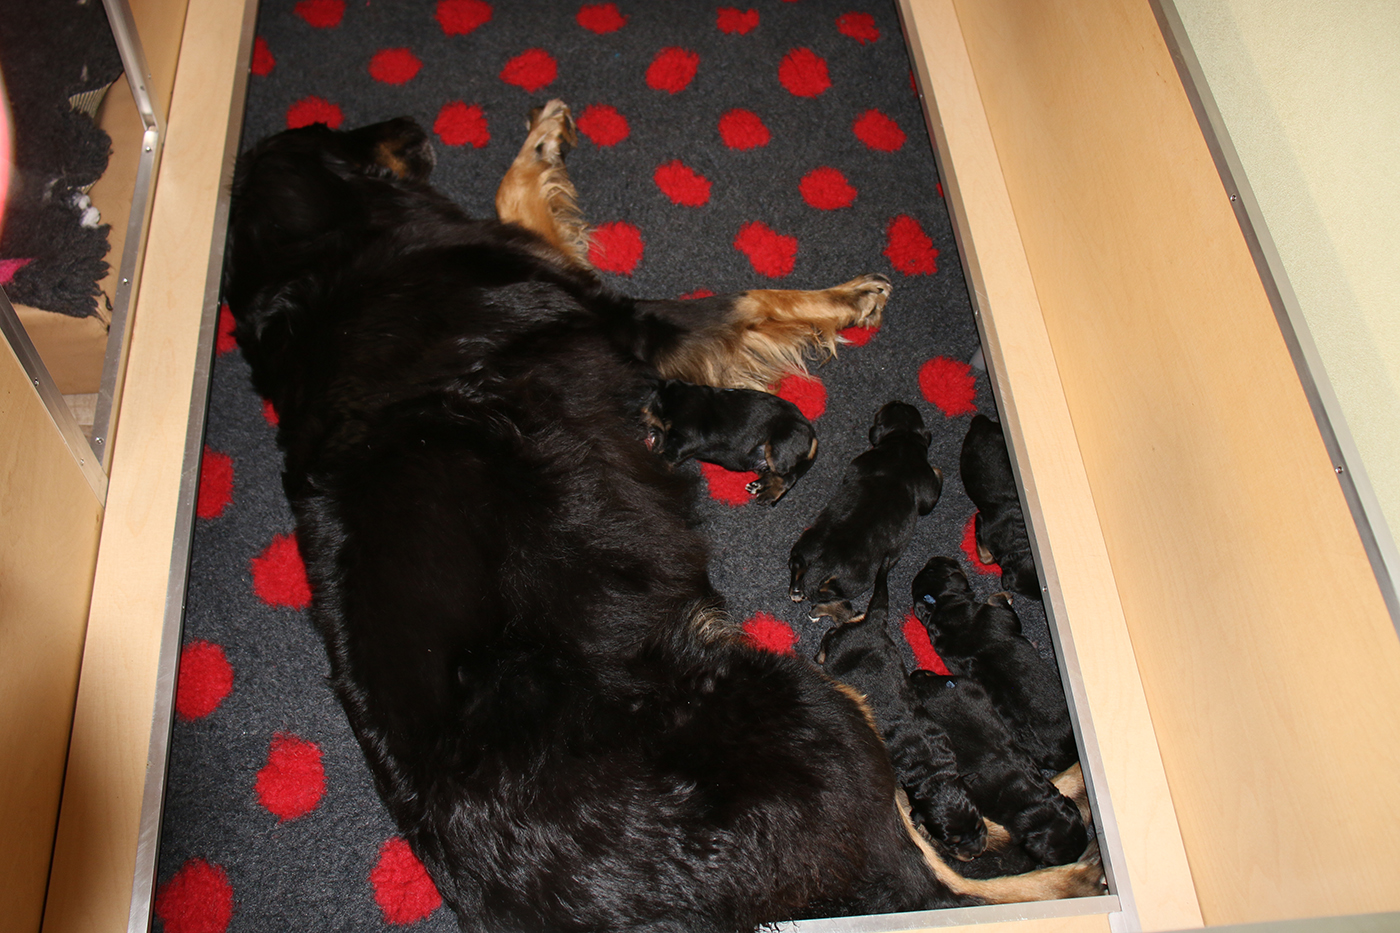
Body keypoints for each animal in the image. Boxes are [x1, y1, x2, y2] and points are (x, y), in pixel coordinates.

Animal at [641, 378, 817, 503]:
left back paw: (768, 495)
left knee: (787, 477)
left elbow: (666, 456)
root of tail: (812, 433)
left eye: (645, 410)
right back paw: (757, 485)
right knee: (773, 474)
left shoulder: (686, 438)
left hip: (779, 448)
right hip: (763, 460)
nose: (640, 425)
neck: (672, 400)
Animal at [789, 401, 942, 623]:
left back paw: (796, 590)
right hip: (857, 579)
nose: (899, 401)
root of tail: (821, 566)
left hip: (809, 541)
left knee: (797, 562)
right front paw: (939, 470)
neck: (903, 440)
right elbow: (932, 492)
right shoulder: (927, 486)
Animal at [816, 565, 987, 860]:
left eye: (978, 823)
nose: (976, 853)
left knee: (847, 619)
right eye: (951, 840)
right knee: (831, 637)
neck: (933, 771)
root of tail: (874, 625)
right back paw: (818, 653)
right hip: (838, 651)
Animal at [911, 557, 1078, 773]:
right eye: (935, 567)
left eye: (929, 568)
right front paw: (1003, 595)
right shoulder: (1003, 615)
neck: (942, 607)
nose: (935, 557)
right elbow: (998, 601)